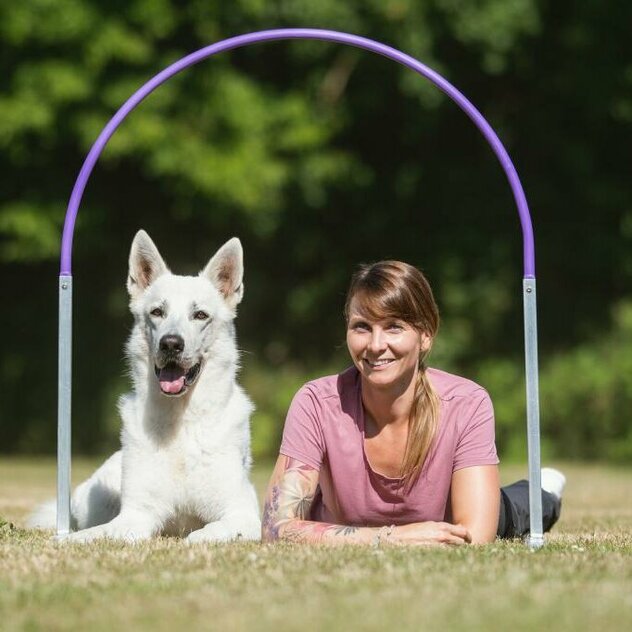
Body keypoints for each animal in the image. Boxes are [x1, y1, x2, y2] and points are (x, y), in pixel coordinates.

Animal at [29, 231, 262, 544]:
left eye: (200, 315)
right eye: (157, 312)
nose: (171, 344)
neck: (181, 422)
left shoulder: (242, 514)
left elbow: (204, 532)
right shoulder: (136, 516)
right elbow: (93, 535)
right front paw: (64, 541)